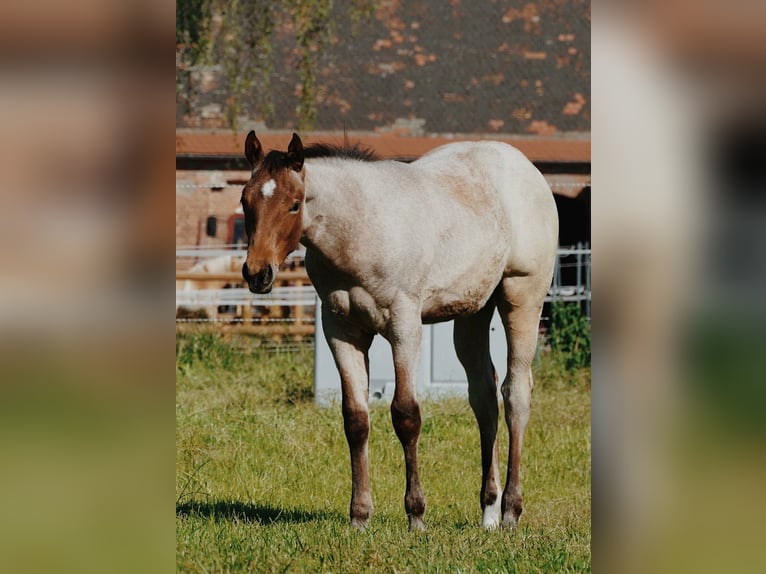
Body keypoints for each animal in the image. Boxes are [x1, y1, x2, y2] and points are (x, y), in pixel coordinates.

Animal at [239, 131, 558, 531]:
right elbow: (355, 418)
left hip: (522, 298)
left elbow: (406, 414)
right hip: (473, 314)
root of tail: (526, 168)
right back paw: (488, 511)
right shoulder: (341, 330)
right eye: (245, 200)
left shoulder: (404, 324)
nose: (257, 273)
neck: (359, 227)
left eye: (294, 205)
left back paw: (511, 512)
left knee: (515, 394)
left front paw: (415, 515)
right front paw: (359, 516)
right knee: (484, 398)